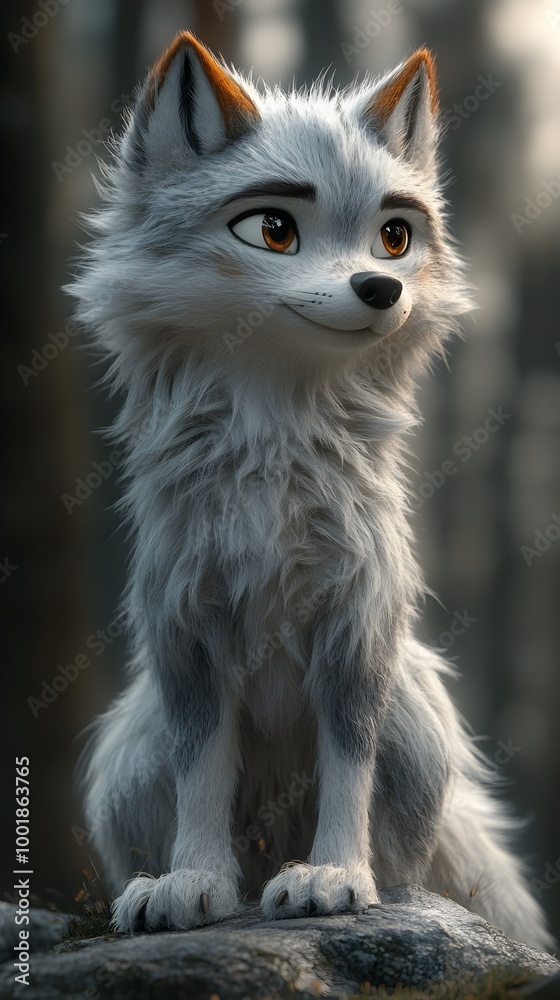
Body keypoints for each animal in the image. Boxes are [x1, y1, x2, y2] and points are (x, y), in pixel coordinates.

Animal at [70, 31, 552, 948]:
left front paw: (335, 878)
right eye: (274, 230)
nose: (381, 288)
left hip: (416, 726)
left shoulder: (355, 636)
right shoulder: (187, 636)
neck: (274, 451)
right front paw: (193, 883)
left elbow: (345, 775)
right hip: (129, 758)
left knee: (408, 866)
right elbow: (202, 781)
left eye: (394, 238)